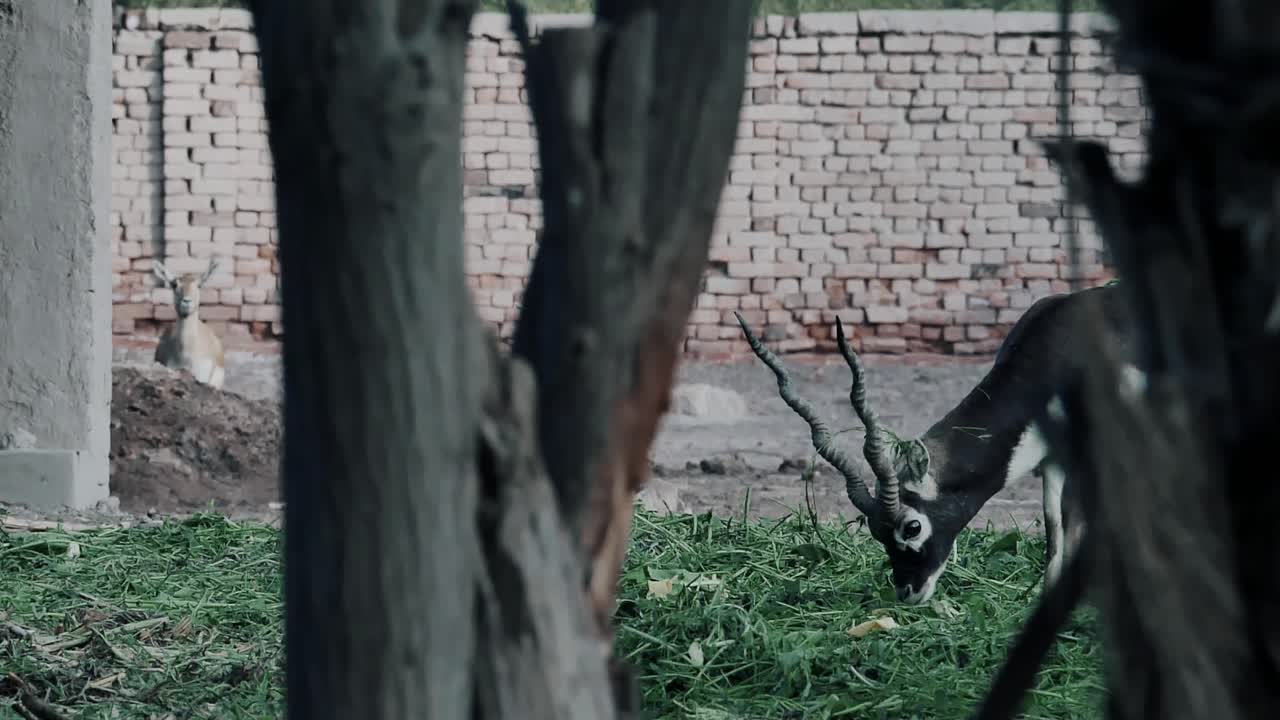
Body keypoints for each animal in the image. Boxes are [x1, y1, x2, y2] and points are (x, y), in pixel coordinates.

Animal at [737, 281, 1140, 605]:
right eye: (875, 531)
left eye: (912, 527)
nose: (907, 592)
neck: (1057, 354)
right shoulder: (1055, 458)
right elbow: (1055, 532)